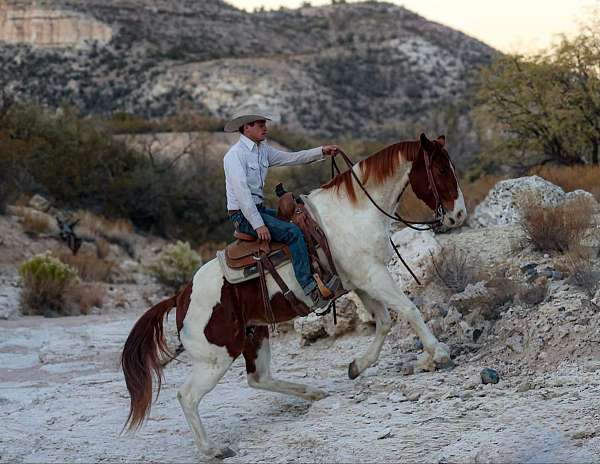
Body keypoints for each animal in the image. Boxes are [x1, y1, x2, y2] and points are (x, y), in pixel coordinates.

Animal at [119, 132, 466, 458]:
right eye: (440, 169)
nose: (459, 215)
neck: (355, 213)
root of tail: (181, 297)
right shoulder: (373, 275)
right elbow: (408, 310)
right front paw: (439, 353)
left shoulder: (361, 283)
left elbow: (384, 323)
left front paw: (357, 366)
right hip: (215, 358)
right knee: (188, 396)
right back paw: (213, 449)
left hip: (254, 336)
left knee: (259, 378)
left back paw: (314, 394)